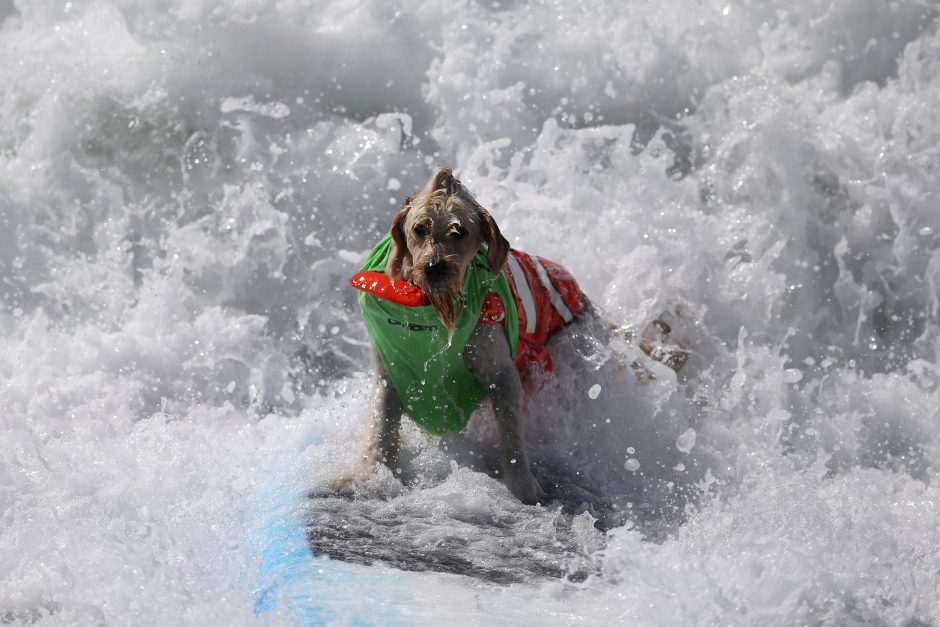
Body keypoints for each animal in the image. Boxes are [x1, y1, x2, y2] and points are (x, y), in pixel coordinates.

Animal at [330, 167, 684, 506]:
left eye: (459, 232)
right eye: (420, 229)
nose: (435, 268)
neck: (433, 317)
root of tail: (586, 299)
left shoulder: (501, 374)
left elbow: (512, 435)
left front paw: (523, 485)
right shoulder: (389, 373)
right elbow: (379, 430)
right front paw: (365, 476)